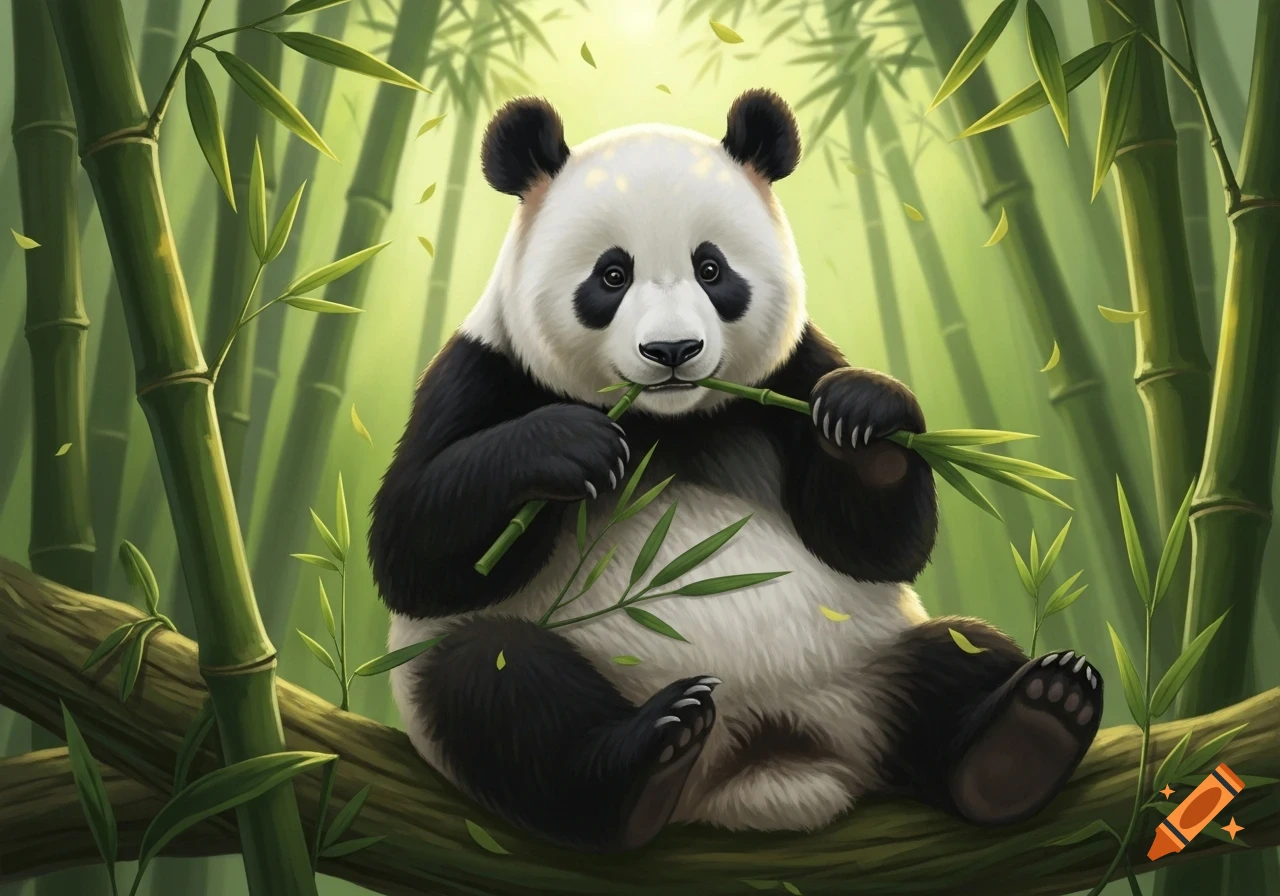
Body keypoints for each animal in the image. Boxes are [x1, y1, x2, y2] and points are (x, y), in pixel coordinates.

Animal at [369, 89, 1103, 853]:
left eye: (712, 269)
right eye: (612, 274)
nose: (672, 351)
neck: (666, 421)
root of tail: (769, 759)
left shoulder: (790, 372)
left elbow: (876, 547)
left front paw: (864, 416)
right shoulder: (484, 371)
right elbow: (415, 547)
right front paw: (569, 446)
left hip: (871, 659)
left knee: (958, 656)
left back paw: (1027, 731)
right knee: (495, 687)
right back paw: (646, 758)